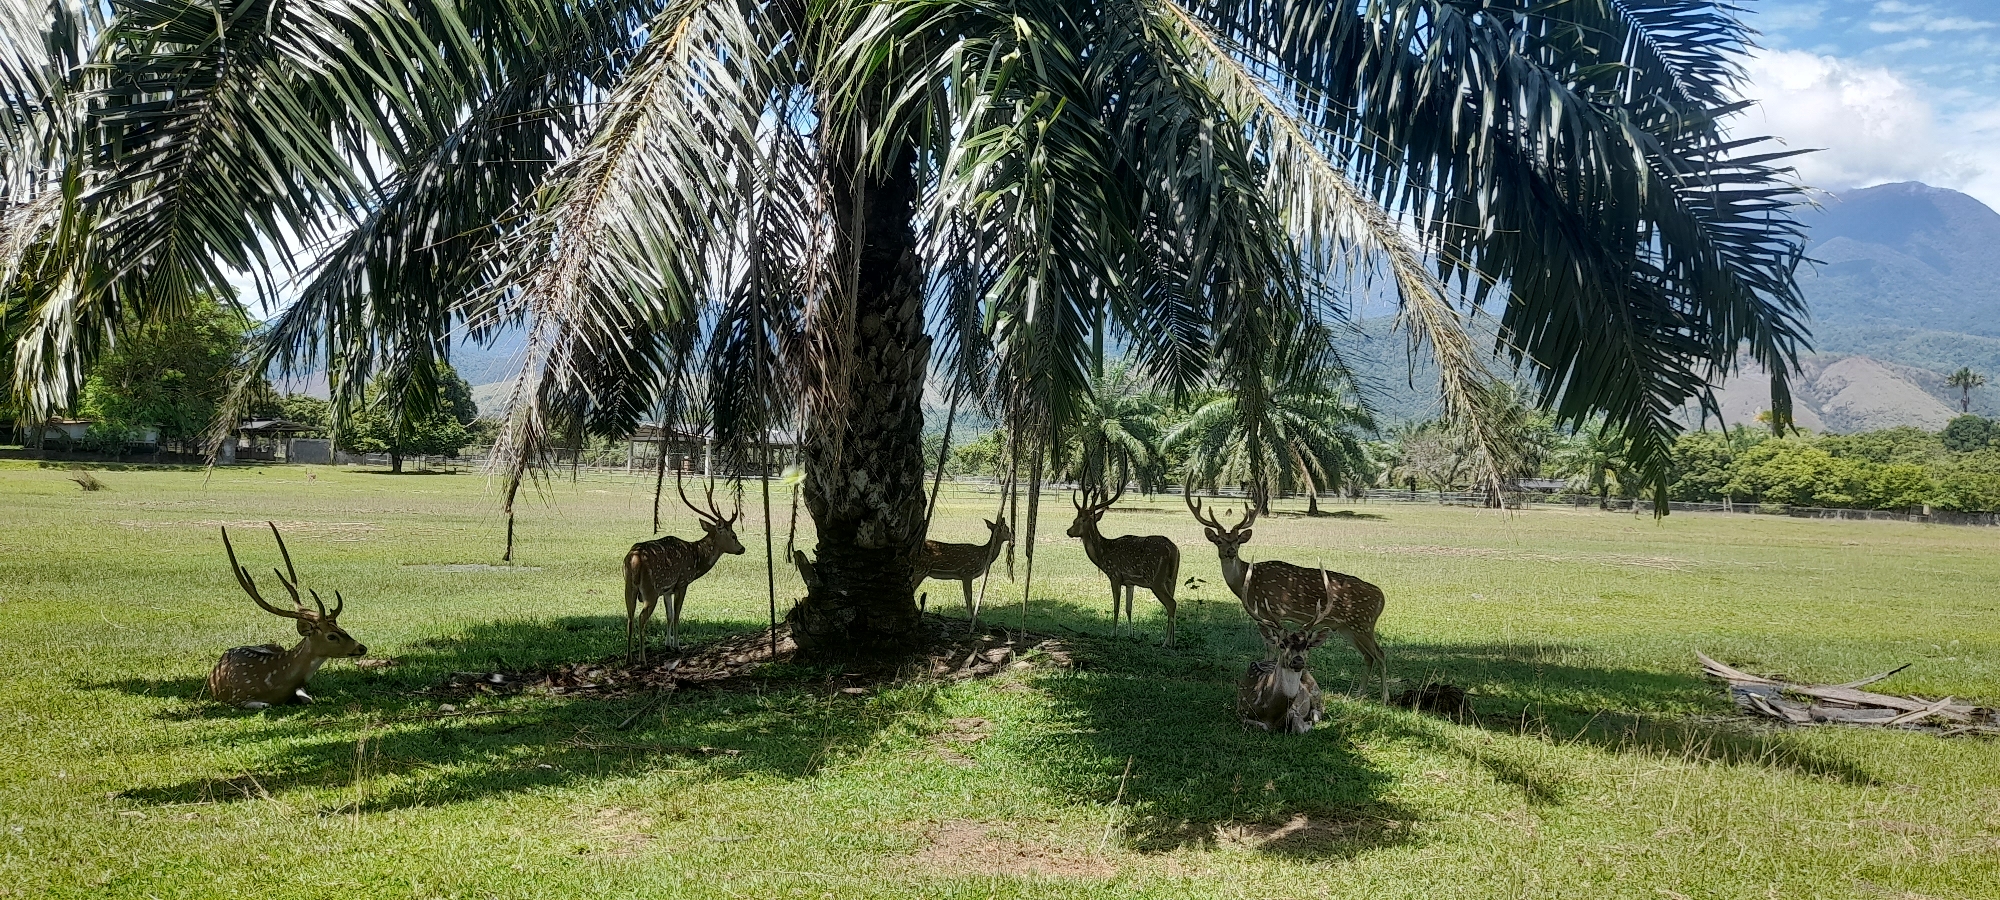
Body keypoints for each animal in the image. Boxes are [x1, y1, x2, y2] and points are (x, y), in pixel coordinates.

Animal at [208, 524, 368, 709]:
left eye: (342, 628)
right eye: (331, 636)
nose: (361, 648)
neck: (273, 683)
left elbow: (308, 698)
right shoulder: (239, 698)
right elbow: (266, 705)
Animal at [624, 476, 745, 662]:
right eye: (734, 536)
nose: (742, 548)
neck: (696, 559)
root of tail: (634, 559)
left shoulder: (667, 590)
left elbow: (669, 615)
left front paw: (667, 645)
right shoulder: (682, 582)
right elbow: (677, 615)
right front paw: (677, 647)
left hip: (628, 587)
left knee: (629, 618)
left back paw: (628, 657)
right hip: (650, 590)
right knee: (641, 618)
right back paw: (642, 659)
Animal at [1067, 482, 1181, 646]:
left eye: (1081, 520)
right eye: (1075, 518)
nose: (1068, 531)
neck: (1103, 555)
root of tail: (1173, 550)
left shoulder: (1114, 575)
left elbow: (1116, 606)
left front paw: (1113, 633)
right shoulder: (1129, 582)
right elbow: (1129, 608)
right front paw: (1130, 634)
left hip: (1156, 580)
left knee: (1171, 604)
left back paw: (1166, 642)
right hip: (1172, 579)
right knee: (1173, 602)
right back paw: (1173, 641)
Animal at [1185, 485, 1389, 702]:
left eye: (1238, 541)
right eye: (1219, 541)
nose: (1230, 551)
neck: (1246, 582)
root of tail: (1381, 597)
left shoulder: (1273, 608)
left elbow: (1270, 646)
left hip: (1363, 624)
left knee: (1380, 653)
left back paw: (1384, 697)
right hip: (1347, 628)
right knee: (1368, 656)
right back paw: (1358, 693)